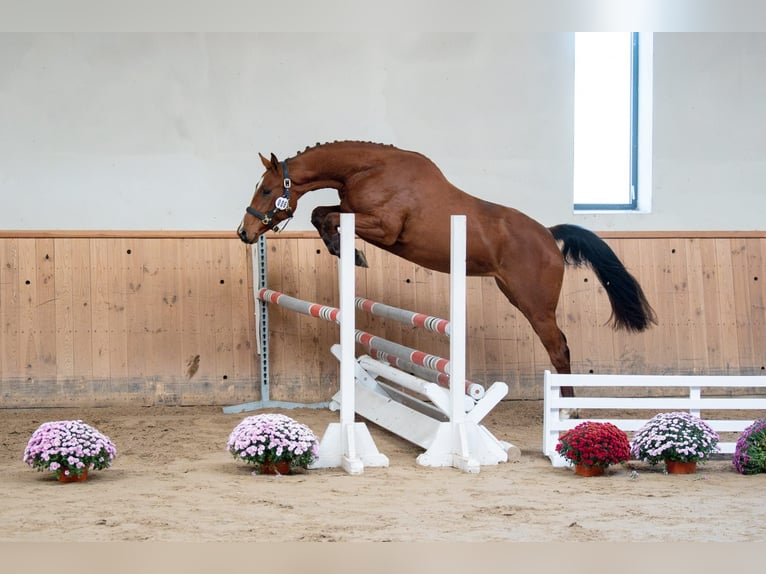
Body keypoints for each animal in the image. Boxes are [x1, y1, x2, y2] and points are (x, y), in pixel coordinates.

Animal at [237, 141, 657, 400]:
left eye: (266, 190)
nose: (245, 231)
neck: (367, 169)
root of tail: (548, 236)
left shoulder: (385, 228)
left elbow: (324, 214)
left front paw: (349, 251)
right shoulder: (355, 213)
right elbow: (322, 213)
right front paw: (344, 249)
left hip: (536, 305)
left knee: (559, 348)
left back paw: (569, 409)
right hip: (514, 294)